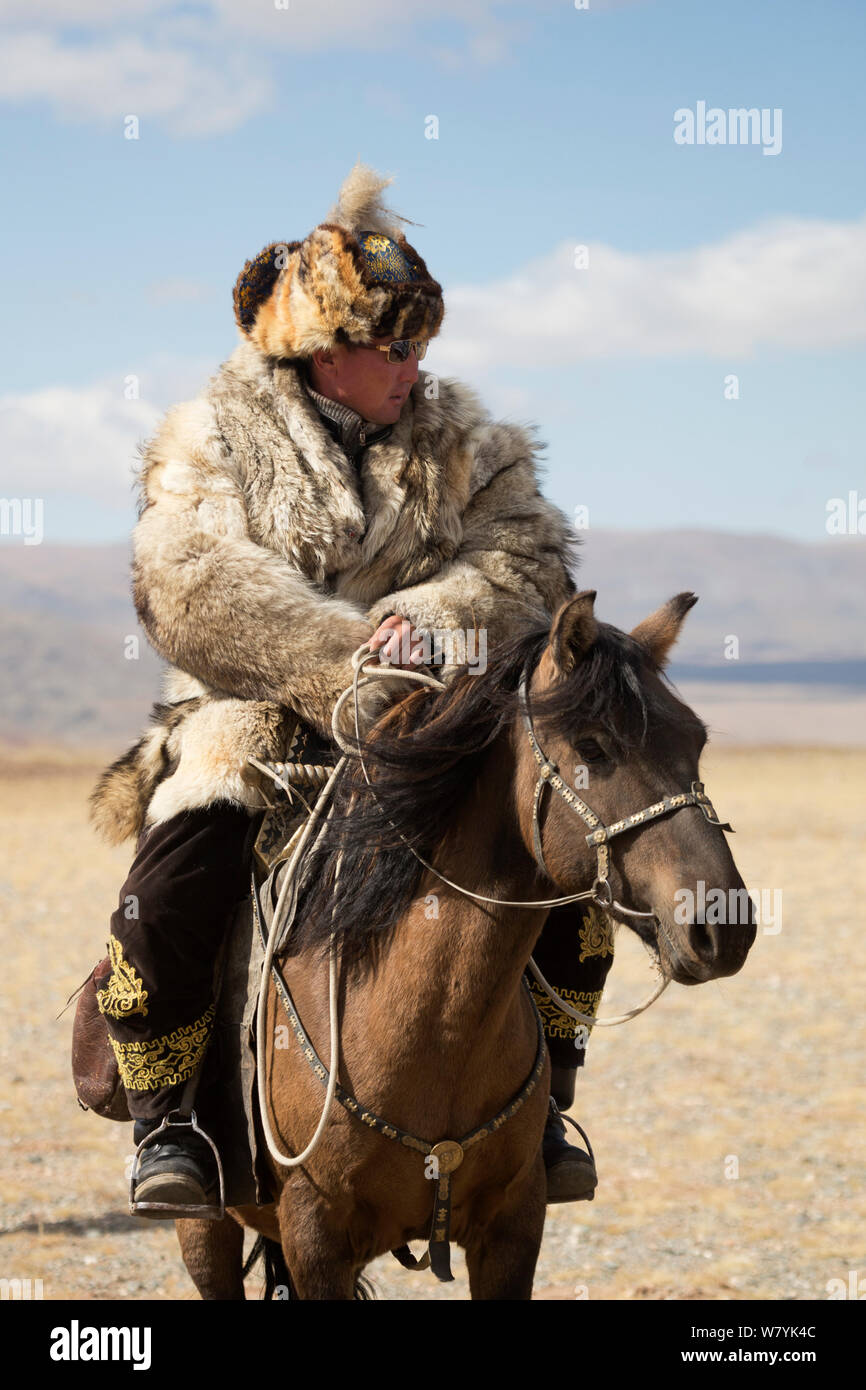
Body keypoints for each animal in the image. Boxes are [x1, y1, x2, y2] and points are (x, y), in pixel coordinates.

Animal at [177, 592, 756, 1295]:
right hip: (205, 1226)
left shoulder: (513, 1226)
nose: (724, 922)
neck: (429, 1028)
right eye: (593, 745)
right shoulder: (314, 1234)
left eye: (695, 741)